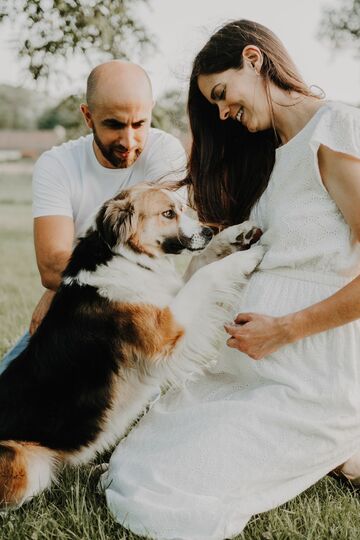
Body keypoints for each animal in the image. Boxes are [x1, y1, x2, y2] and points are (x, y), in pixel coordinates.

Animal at [0, 181, 262, 510]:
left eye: (181, 208)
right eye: (168, 213)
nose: (207, 230)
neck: (126, 257)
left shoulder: (169, 296)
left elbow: (201, 263)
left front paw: (236, 235)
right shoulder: (166, 329)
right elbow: (206, 275)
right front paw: (245, 258)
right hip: (27, 463)